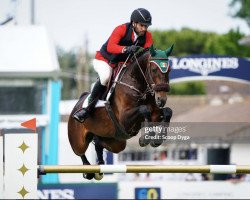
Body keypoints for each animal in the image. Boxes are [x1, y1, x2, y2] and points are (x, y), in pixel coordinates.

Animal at [68, 44, 174, 180]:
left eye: (169, 70)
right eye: (154, 69)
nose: (161, 99)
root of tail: (78, 103)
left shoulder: (155, 114)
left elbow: (167, 112)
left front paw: (157, 139)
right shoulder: (124, 119)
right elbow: (144, 109)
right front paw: (145, 138)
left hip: (116, 142)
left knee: (99, 143)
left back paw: (100, 162)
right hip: (78, 140)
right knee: (80, 152)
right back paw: (88, 170)